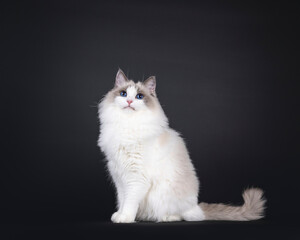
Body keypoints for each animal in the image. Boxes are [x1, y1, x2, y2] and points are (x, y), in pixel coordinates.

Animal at [98, 69, 264, 223]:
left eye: (139, 96)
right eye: (123, 94)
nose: (129, 101)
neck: (127, 125)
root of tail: (196, 207)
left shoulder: (136, 178)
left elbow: (130, 201)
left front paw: (125, 218)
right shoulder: (119, 177)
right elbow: (122, 199)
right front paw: (119, 215)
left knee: (182, 215)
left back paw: (167, 217)